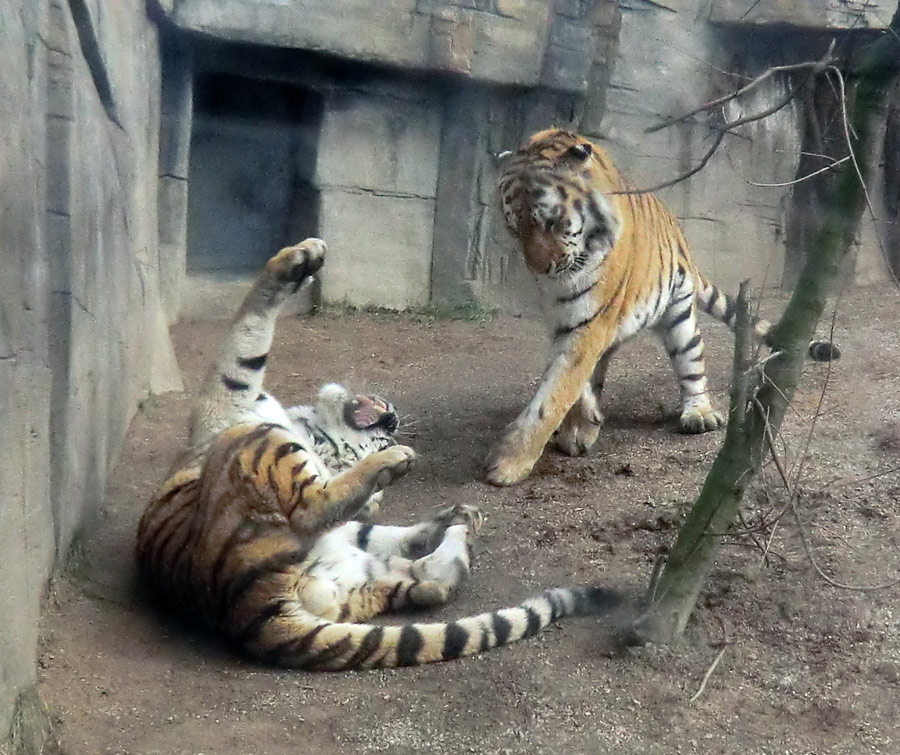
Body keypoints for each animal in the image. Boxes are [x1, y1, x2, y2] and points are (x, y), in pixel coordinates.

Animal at [135, 239, 624, 672]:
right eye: (382, 434)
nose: (392, 421)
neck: (310, 432)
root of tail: (244, 611)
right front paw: (305, 259)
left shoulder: (231, 401)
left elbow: (245, 339)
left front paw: (299, 260)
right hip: (349, 567)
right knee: (427, 580)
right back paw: (455, 519)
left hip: (257, 447)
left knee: (321, 512)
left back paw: (438, 501)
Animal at [488, 127, 840, 488]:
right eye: (515, 228)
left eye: (551, 220)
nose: (539, 269)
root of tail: (677, 229)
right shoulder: (566, 321)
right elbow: (569, 382)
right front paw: (581, 424)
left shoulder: (590, 323)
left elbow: (554, 395)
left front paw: (508, 464)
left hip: (680, 317)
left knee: (692, 365)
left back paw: (699, 413)